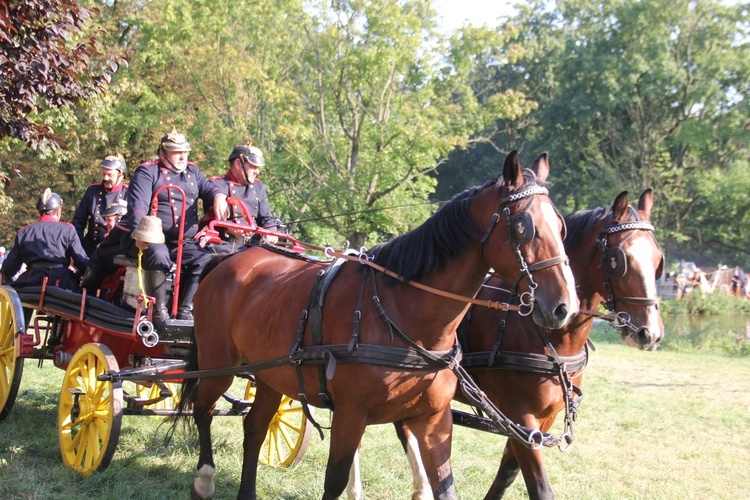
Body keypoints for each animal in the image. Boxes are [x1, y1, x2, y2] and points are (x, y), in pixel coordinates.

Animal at [179, 151, 580, 500]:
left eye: (562, 227)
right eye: (523, 227)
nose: (564, 307)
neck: (404, 317)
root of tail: (233, 257)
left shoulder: (434, 420)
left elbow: (446, 486)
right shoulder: (350, 415)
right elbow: (334, 482)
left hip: (270, 376)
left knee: (255, 429)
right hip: (218, 365)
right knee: (202, 410)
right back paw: (203, 480)